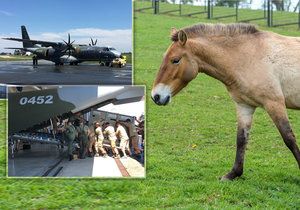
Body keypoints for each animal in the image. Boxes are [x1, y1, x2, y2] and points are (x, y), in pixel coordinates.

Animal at [151, 22, 300, 180]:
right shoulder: (244, 106)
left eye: (175, 60)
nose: (156, 96)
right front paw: (233, 173)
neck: (249, 56)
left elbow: (288, 137)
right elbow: (241, 139)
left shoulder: (274, 103)